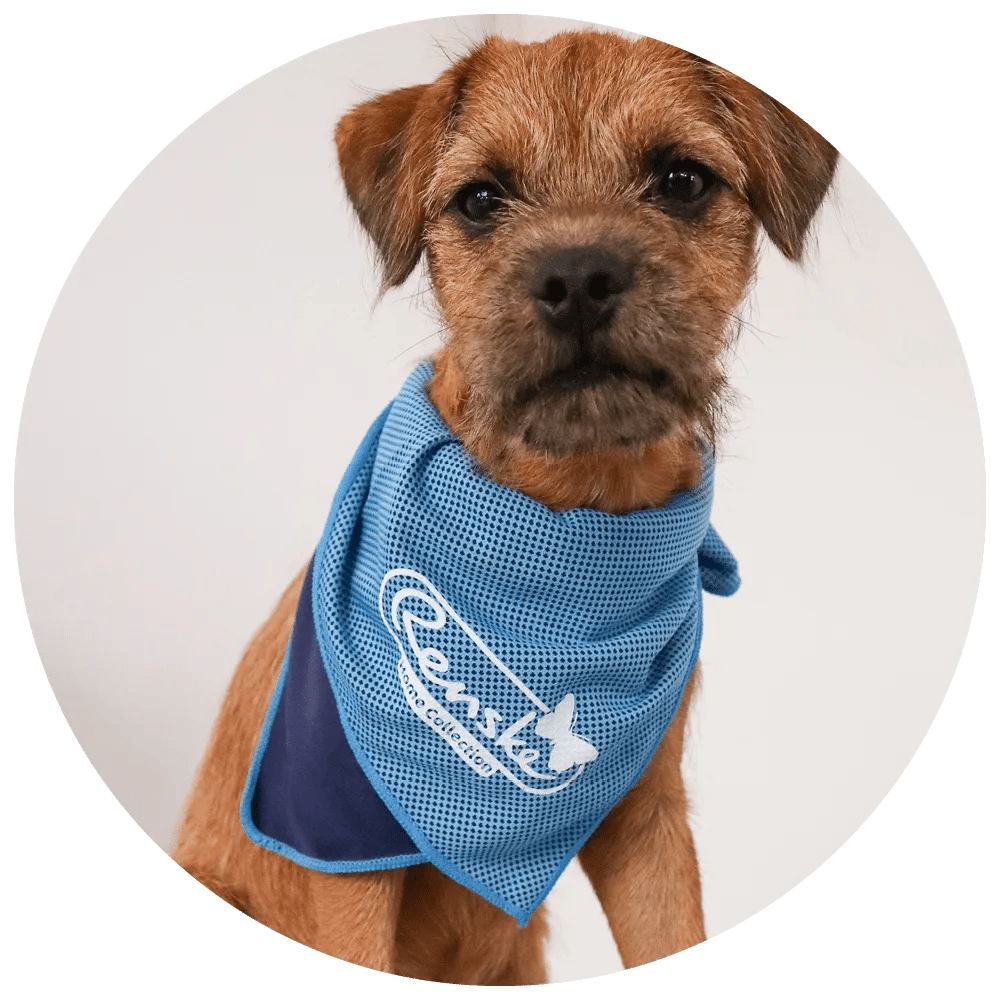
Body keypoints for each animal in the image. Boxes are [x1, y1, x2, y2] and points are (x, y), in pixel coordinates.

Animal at [173, 30, 837, 984]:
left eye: (682, 181)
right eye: (482, 199)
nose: (579, 275)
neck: (571, 519)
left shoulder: (646, 819)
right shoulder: (341, 848)